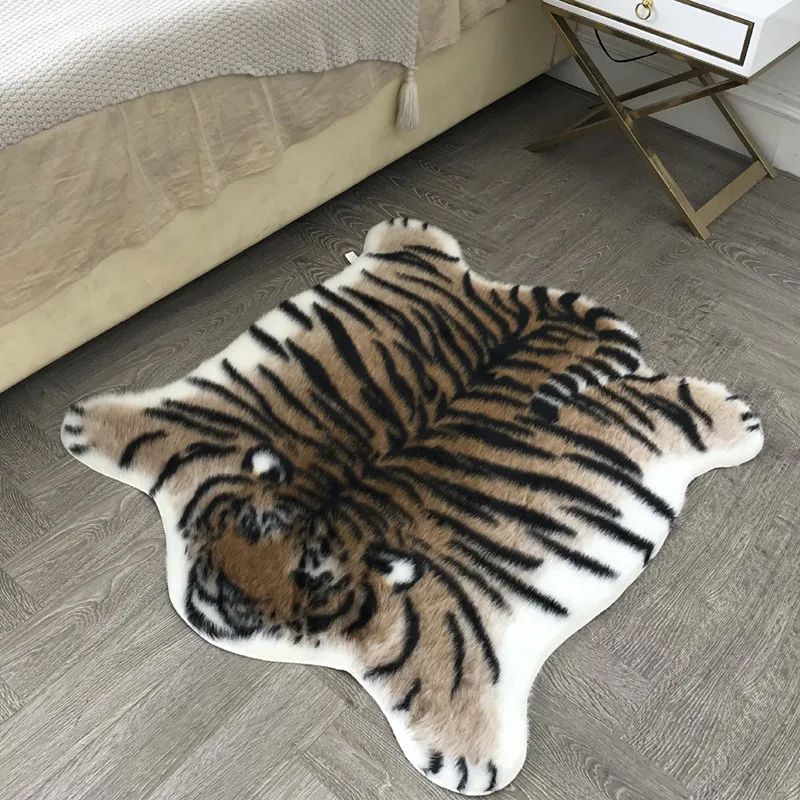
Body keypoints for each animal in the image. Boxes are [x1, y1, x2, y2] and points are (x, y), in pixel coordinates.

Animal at [61, 217, 763, 795]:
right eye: (246, 525)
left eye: (314, 578)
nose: (222, 597)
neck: (334, 503)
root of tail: (549, 308)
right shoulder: (194, 438)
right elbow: (142, 428)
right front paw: (84, 426)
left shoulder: (448, 630)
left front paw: (475, 761)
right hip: (432, 278)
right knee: (425, 254)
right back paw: (408, 231)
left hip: (650, 410)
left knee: (681, 404)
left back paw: (739, 419)